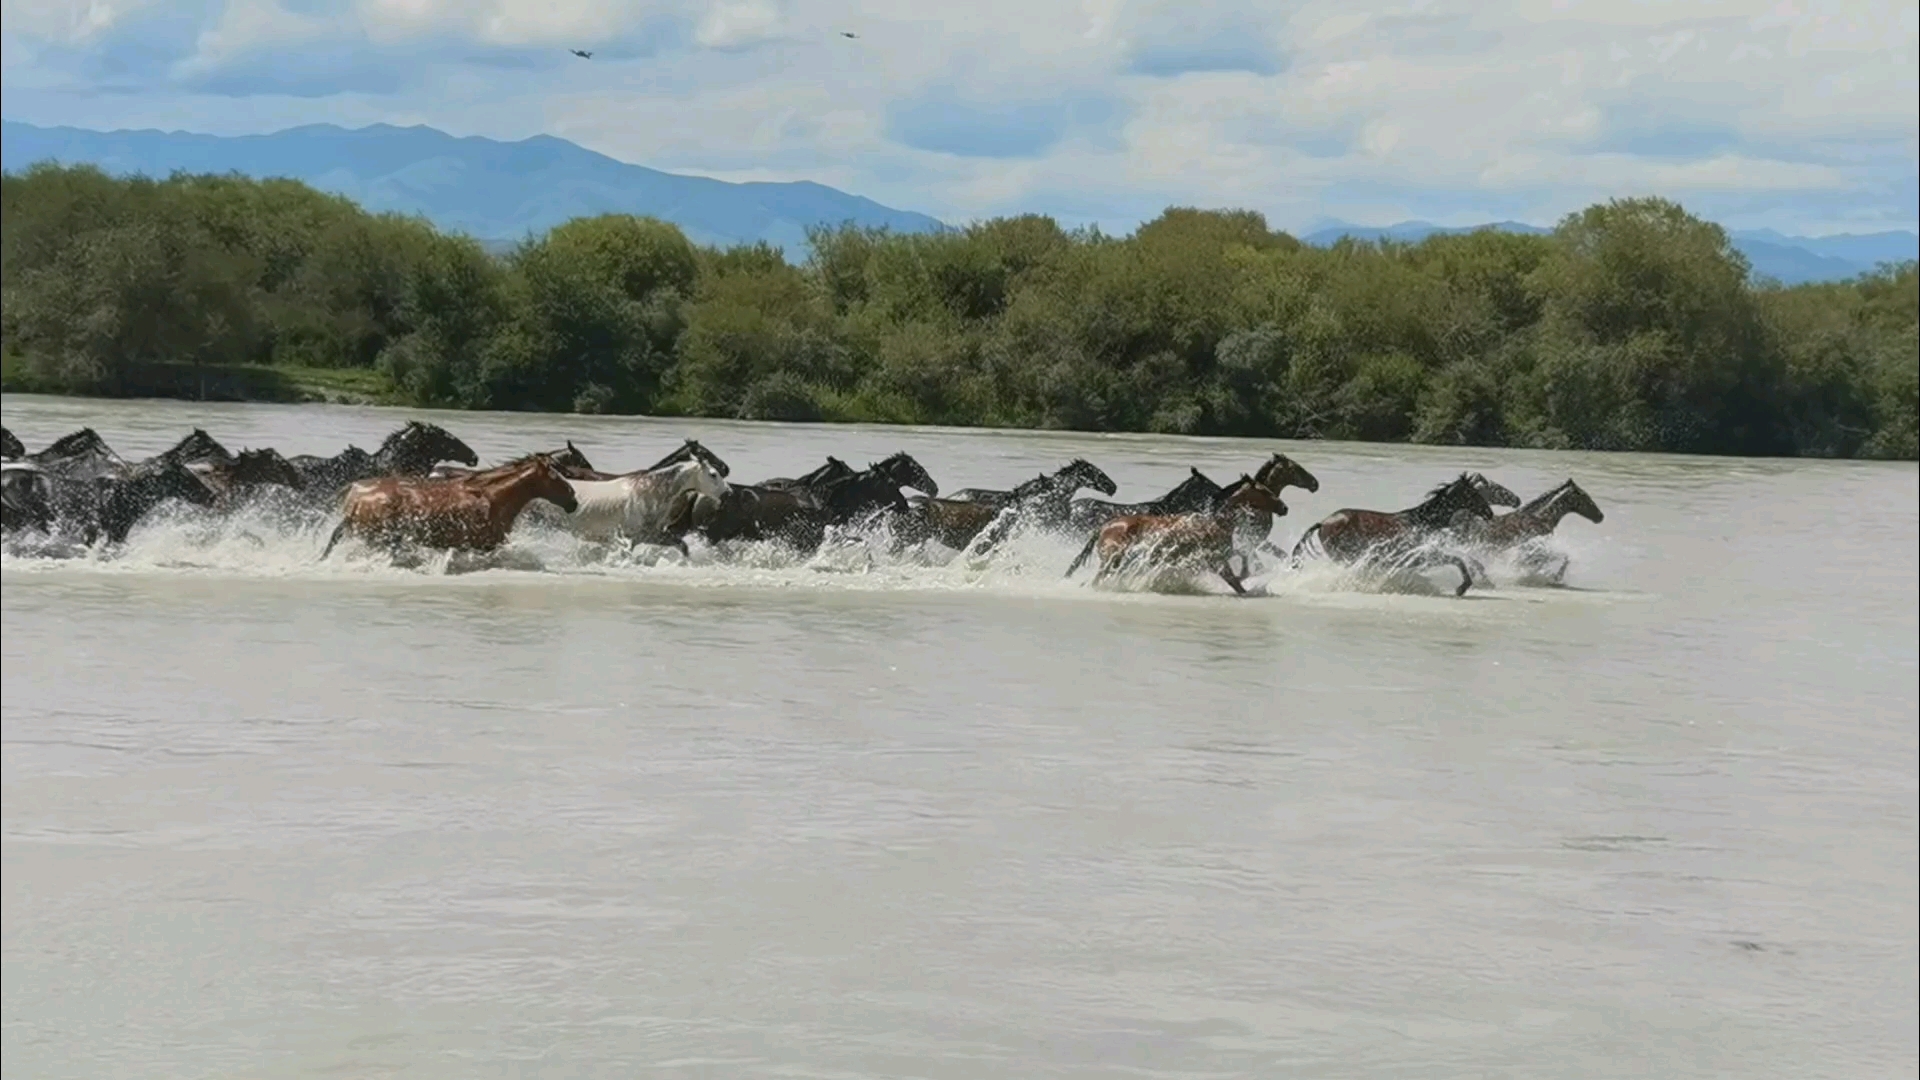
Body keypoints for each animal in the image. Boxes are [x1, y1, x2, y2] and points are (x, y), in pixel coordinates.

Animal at [1067, 476, 1290, 595]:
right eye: (1264, 491)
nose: (1284, 507)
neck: (1216, 523)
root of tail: (1104, 527)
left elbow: (1243, 565)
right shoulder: (1217, 561)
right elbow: (1237, 583)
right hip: (1111, 562)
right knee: (1096, 582)